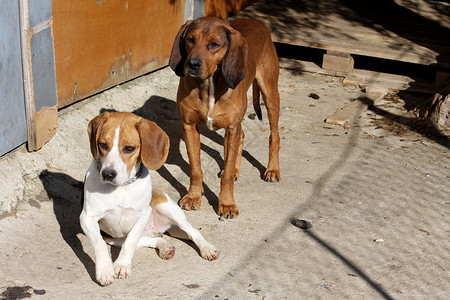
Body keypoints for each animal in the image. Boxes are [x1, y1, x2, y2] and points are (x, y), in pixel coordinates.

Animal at [82, 111, 220, 284]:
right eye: (103, 145)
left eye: (129, 148)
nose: (108, 174)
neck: (121, 187)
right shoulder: (87, 218)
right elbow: (99, 244)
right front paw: (105, 270)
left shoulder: (143, 214)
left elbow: (130, 242)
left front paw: (122, 265)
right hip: (115, 239)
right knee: (153, 239)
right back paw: (165, 247)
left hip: (170, 209)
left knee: (193, 231)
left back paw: (206, 248)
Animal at [170, 16, 280, 218]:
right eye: (190, 39)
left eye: (214, 44)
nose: (192, 64)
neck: (209, 84)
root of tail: (257, 21)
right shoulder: (189, 126)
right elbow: (195, 169)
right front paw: (193, 196)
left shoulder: (231, 127)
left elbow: (227, 176)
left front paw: (227, 204)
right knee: (240, 137)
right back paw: (236, 168)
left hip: (270, 95)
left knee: (274, 135)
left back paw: (272, 169)